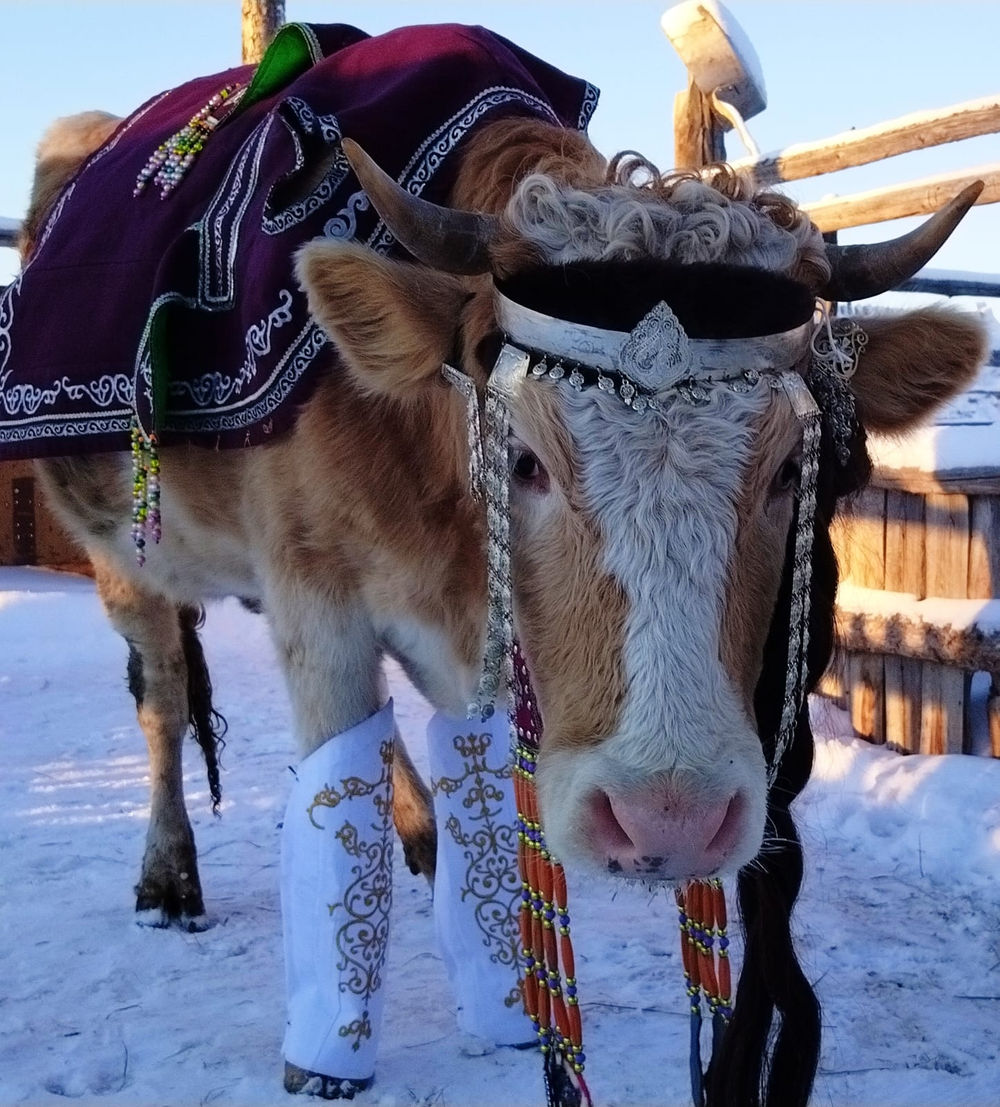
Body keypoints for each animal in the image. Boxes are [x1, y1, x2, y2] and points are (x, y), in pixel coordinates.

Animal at [3, 19, 987, 1107]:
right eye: (523, 457)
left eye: (785, 471)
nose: (670, 818)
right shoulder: (315, 599)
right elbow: (333, 790)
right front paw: (329, 1050)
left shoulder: (469, 628)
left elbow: (472, 780)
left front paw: (504, 1004)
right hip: (124, 555)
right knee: (165, 698)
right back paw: (169, 875)